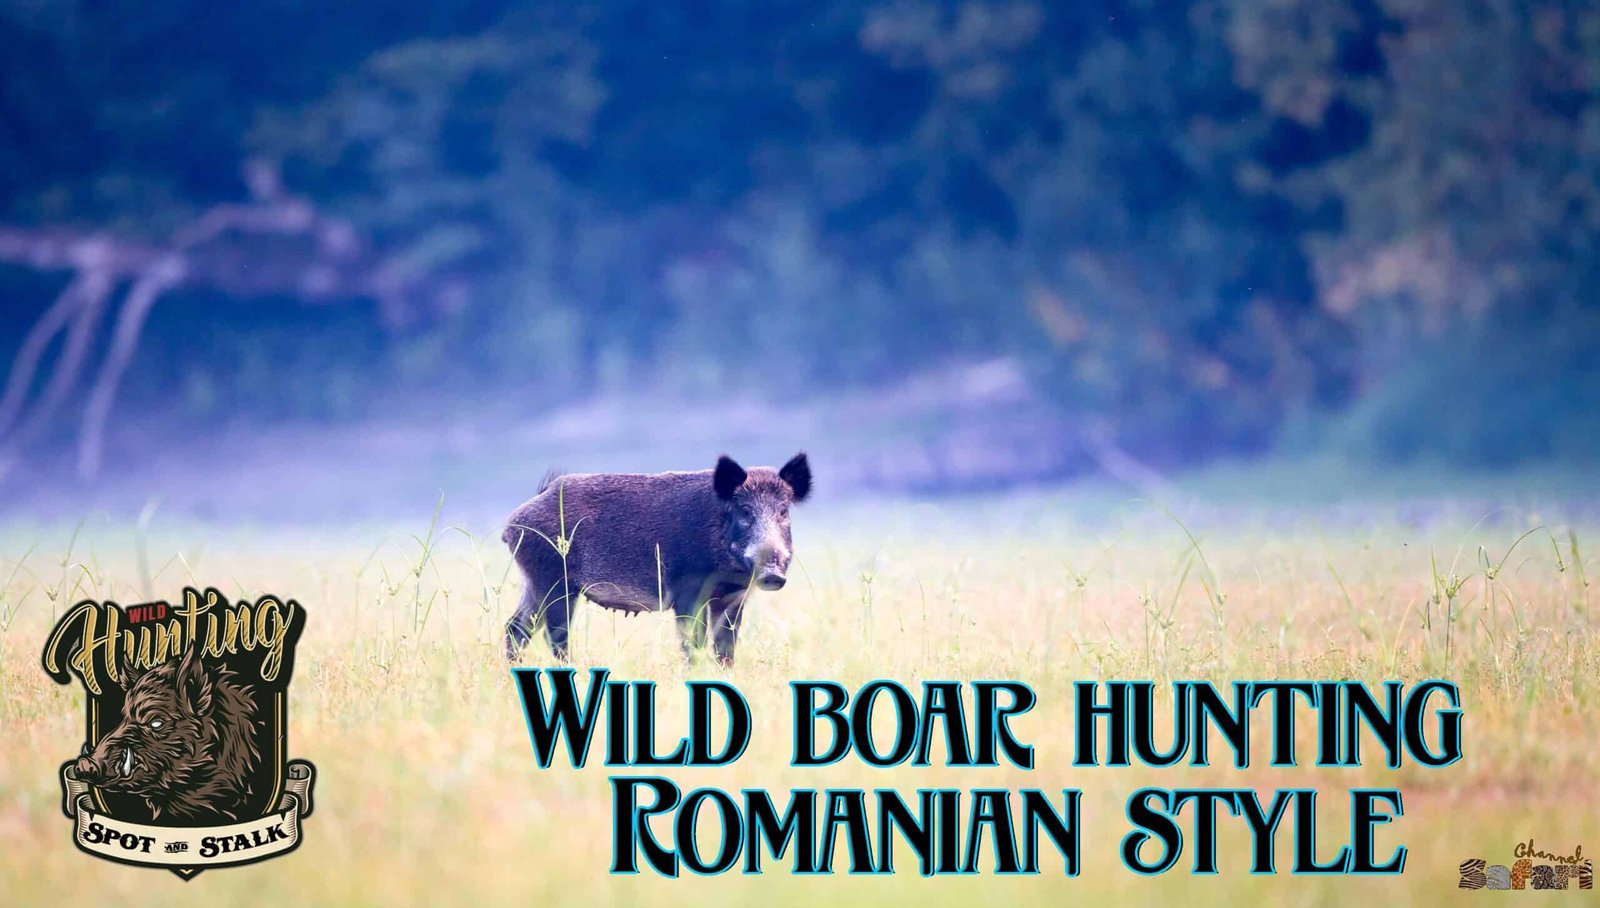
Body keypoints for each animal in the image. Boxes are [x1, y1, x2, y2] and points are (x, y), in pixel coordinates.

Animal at [502, 452, 812, 666]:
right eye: (745, 511)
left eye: (783, 511)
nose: (772, 574)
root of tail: (516, 521)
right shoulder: (688, 592)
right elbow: (692, 644)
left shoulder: (732, 600)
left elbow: (726, 649)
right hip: (554, 581)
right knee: (554, 635)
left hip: (534, 582)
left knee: (515, 628)